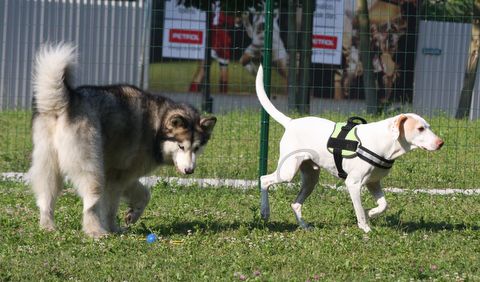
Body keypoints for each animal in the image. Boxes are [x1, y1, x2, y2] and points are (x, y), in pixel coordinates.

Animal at [29, 43, 217, 238]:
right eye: (181, 146)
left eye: (196, 148)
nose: (189, 171)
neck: (156, 126)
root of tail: (68, 100)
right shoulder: (117, 177)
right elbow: (111, 209)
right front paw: (114, 228)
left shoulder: (122, 174)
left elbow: (144, 194)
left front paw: (132, 215)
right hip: (91, 169)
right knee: (90, 204)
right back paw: (96, 231)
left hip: (49, 166)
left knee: (46, 200)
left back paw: (47, 226)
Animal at [256, 66, 444, 234]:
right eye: (420, 129)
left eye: (428, 127)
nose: (441, 143)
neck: (385, 141)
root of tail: (291, 122)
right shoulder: (353, 183)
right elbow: (359, 210)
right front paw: (366, 228)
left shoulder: (373, 183)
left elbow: (384, 205)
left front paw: (371, 213)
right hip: (288, 172)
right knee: (264, 180)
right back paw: (265, 212)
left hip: (311, 179)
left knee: (295, 204)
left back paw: (304, 226)